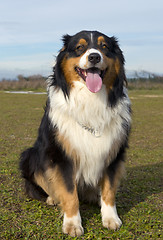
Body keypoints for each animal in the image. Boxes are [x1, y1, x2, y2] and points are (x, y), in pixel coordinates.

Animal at [19, 30, 131, 236]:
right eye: (79, 47)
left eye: (104, 47)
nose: (94, 57)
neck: (91, 99)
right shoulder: (61, 156)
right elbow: (70, 194)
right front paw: (72, 224)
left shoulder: (113, 154)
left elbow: (109, 190)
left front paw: (110, 218)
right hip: (30, 154)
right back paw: (53, 198)